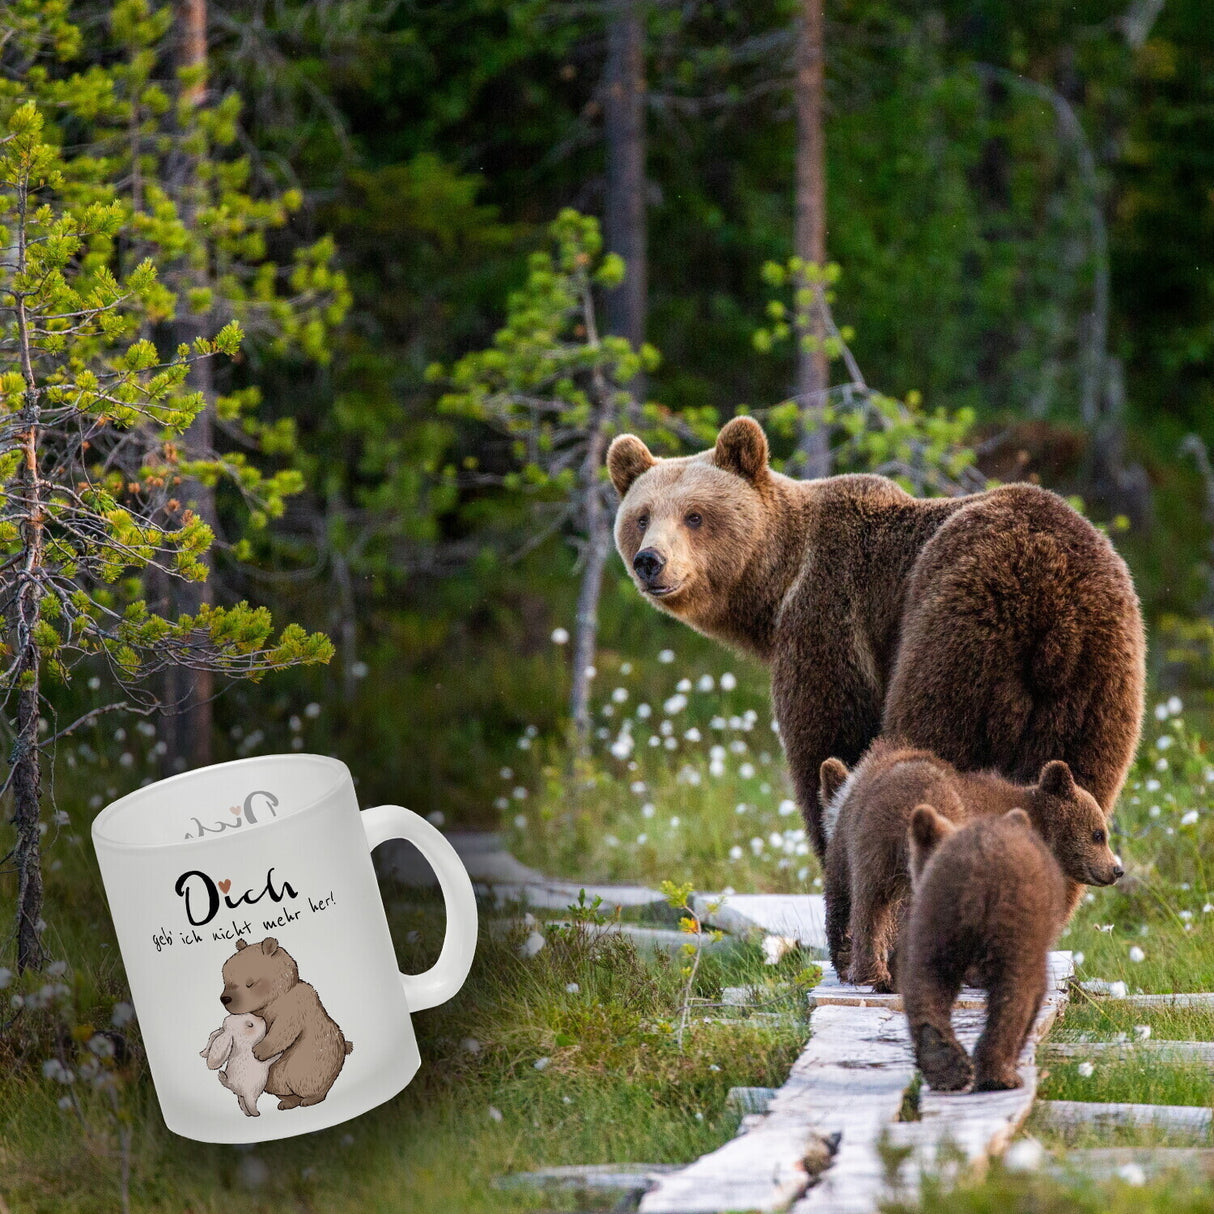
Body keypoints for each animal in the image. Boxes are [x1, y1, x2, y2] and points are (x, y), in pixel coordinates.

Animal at [219, 937, 353, 1110]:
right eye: (225, 981)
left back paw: (310, 1099)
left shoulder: (295, 1005)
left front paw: (259, 1050)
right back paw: (288, 1102)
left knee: (305, 1080)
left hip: (313, 1062)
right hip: (277, 1072)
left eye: (250, 983)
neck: (277, 996)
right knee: (276, 1083)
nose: (225, 999)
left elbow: (283, 1028)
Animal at [607, 417, 1145, 863]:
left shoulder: (830, 617)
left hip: (961, 633)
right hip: (1098, 682)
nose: (650, 561)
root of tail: (1055, 605)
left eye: (695, 515)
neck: (777, 586)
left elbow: (830, 738)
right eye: (642, 516)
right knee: (1079, 783)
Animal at [900, 804, 1091, 1092]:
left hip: (937, 917)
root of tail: (977, 866)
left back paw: (944, 1064)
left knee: (927, 981)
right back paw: (999, 1075)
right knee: (1017, 990)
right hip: (1017, 923)